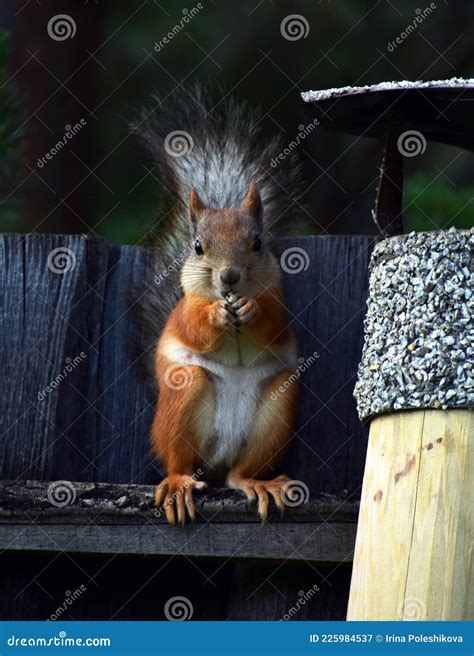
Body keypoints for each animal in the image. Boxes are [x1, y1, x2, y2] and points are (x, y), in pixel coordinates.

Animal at [133, 88, 304, 528]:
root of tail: (215, 462)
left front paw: (252, 309)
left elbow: (277, 323)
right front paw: (214, 315)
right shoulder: (183, 309)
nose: (229, 277)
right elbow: (193, 326)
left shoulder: (280, 299)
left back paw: (257, 482)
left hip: (277, 404)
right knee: (180, 462)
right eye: (197, 247)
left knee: (237, 475)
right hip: (184, 393)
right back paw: (178, 484)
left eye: (258, 243)